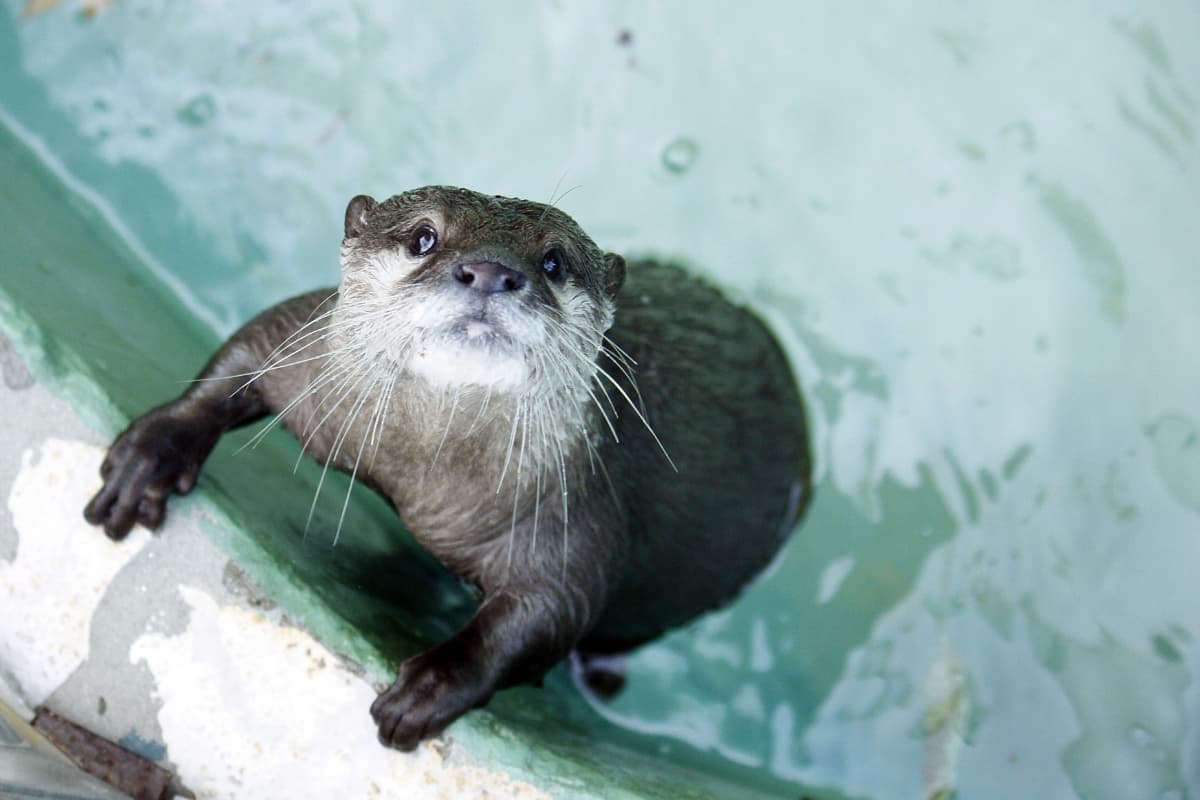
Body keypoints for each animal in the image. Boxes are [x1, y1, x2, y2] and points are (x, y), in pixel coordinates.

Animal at [82, 188, 816, 753]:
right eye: (424, 237)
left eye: (555, 261)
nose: (490, 271)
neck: (418, 474)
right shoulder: (310, 355)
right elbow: (245, 352)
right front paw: (152, 454)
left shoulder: (574, 515)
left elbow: (543, 613)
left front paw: (432, 685)